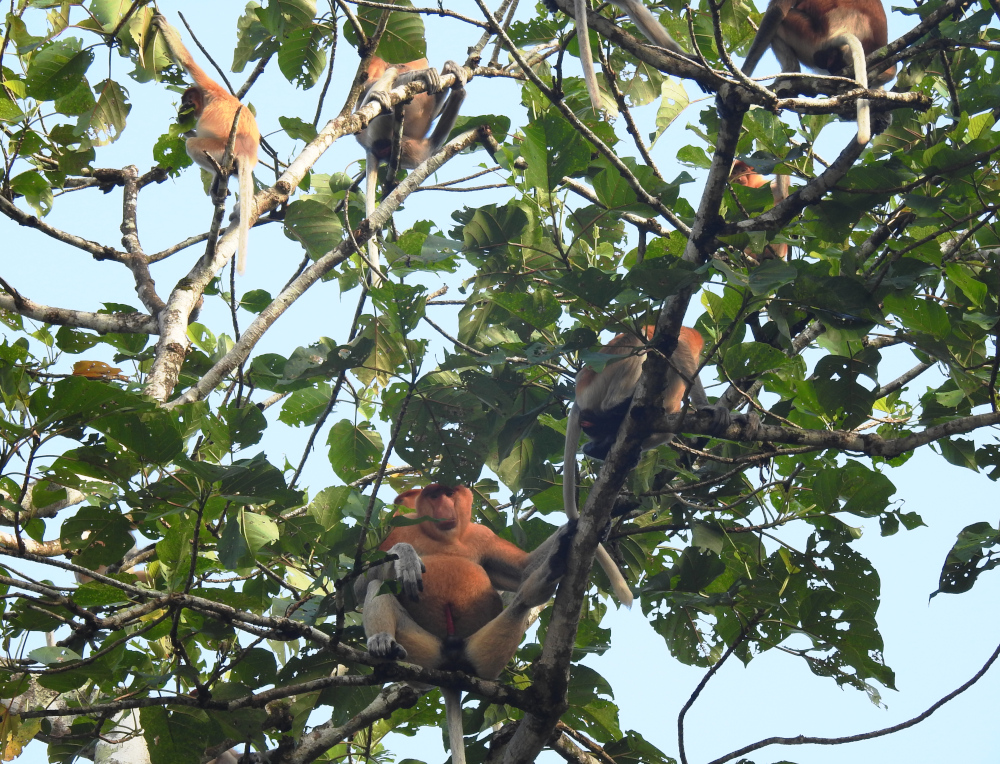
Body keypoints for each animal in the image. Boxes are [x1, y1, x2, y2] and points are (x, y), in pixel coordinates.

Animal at [153, 14, 260, 274]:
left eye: (187, 100)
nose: (182, 108)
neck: (207, 98)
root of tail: (245, 152)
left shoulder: (207, 86)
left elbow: (188, 62)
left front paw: (162, 23)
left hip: (219, 148)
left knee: (192, 144)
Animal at [354, 56, 466, 288]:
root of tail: (370, 147)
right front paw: (424, 73)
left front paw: (447, 72)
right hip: (377, 130)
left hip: (404, 145)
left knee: (428, 147)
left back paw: (455, 88)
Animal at [358, 484, 580, 764]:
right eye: (434, 495)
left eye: (450, 494)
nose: (444, 508)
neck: (446, 539)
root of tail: (452, 672)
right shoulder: (400, 526)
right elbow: (361, 582)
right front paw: (406, 556)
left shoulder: (482, 534)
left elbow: (522, 570)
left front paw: (572, 529)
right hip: (424, 653)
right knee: (378, 585)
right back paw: (383, 644)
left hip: (482, 659)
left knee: (521, 603)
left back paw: (546, 575)